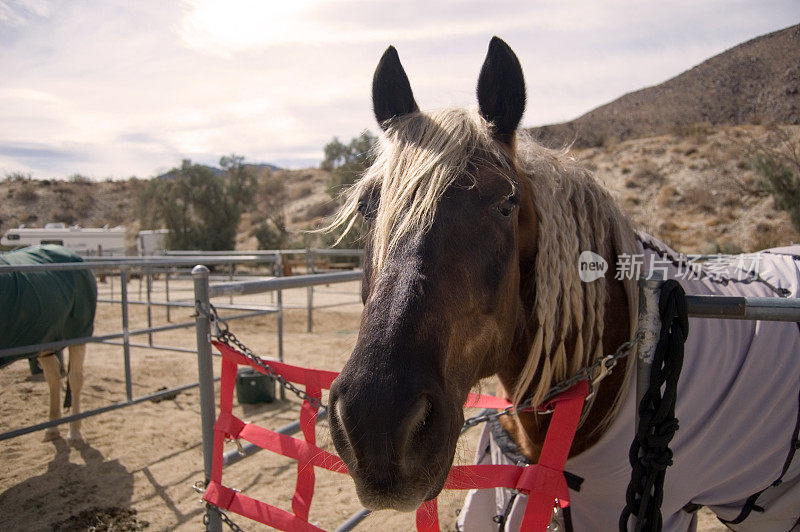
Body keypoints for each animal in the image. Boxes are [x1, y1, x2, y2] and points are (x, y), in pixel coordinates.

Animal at [0, 244, 97, 440]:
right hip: (45, 341)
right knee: (53, 376)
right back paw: (52, 428)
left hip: (78, 334)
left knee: (74, 378)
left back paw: (74, 432)